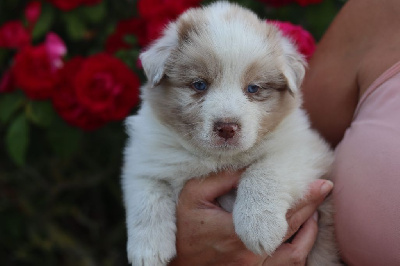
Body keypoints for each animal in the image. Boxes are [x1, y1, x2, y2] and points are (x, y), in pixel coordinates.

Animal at [121, 1, 340, 264]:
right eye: (199, 85)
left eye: (253, 88)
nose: (227, 127)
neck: (216, 158)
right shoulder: (143, 160)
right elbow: (147, 195)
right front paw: (148, 251)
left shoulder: (303, 152)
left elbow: (264, 172)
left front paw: (259, 226)